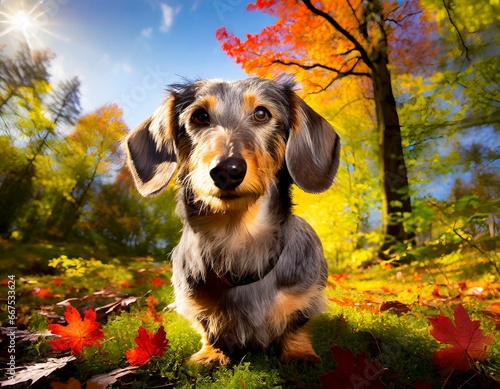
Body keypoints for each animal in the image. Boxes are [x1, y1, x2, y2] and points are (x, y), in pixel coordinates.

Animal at [124, 77, 340, 366]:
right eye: (199, 116)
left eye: (261, 113)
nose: (227, 170)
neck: (238, 237)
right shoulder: (194, 303)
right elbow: (208, 327)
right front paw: (211, 354)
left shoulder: (307, 296)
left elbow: (296, 324)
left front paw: (299, 353)